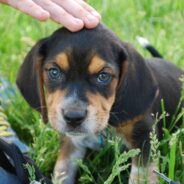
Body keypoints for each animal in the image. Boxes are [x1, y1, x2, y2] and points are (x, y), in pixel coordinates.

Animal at [16, 24, 183, 184]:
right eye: (54, 72)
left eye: (103, 76)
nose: (73, 117)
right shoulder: (71, 143)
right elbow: (62, 171)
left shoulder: (144, 136)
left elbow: (140, 176)